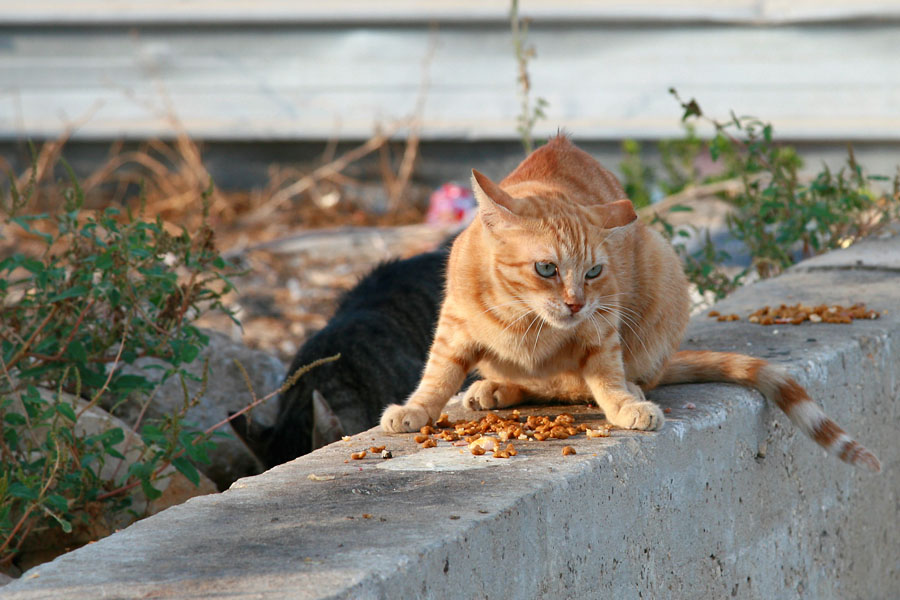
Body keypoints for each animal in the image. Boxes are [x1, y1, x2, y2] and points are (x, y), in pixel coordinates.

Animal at [380, 136, 880, 474]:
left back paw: (629, 389)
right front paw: (415, 410)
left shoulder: (602, 324)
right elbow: (437, 375)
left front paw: (623, 404)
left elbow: (605, 374)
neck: (526, 320)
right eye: (546, 268)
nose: (575, 303)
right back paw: (496, 387)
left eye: (593, 272)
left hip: (663, 268)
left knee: (588, 384)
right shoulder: (453, 325)